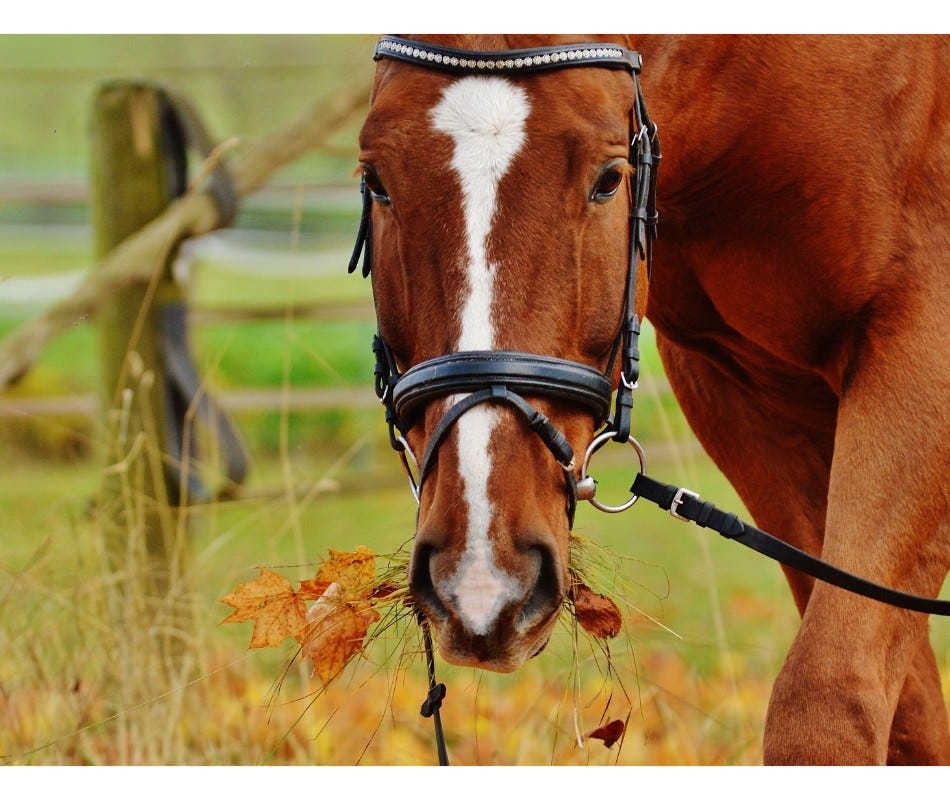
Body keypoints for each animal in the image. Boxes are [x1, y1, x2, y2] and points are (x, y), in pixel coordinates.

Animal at [352, 34, 950, 764]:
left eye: (609, 179)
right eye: (378, 180)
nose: (483, 580)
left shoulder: (923, 344)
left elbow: (830, 696)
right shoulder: (739, 391)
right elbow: (909, 713)